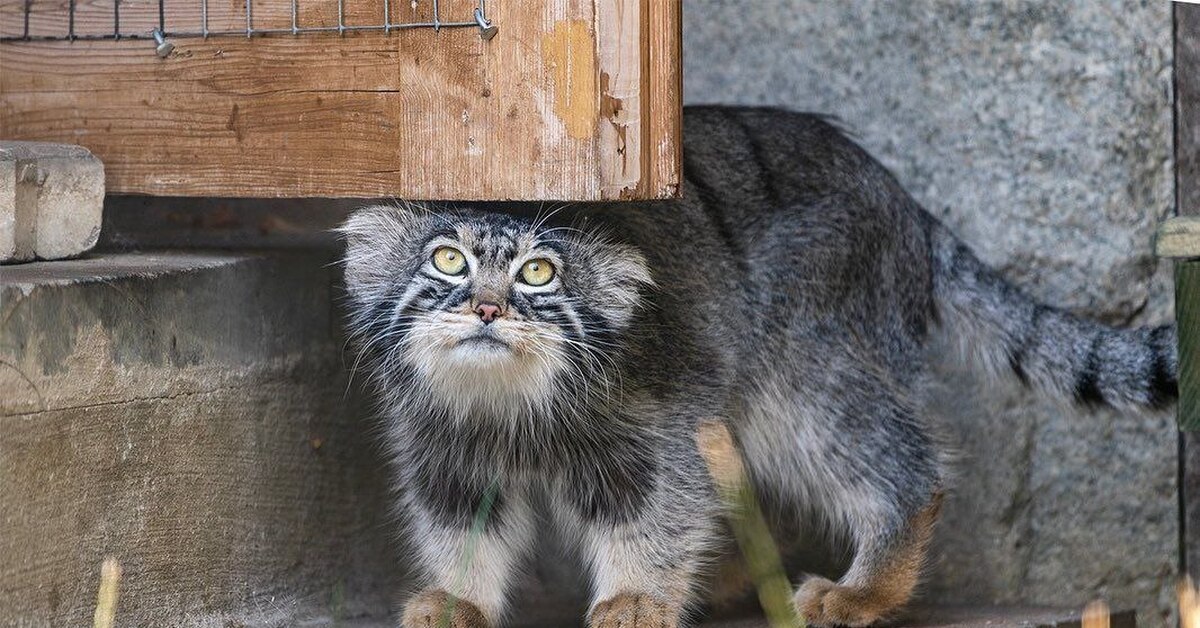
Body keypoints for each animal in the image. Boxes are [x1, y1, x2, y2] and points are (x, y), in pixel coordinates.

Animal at [338, 105, 1171, 624]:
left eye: (539, 273)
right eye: (447, 259)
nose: (486, 309)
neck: (509, 400)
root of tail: (898, 194)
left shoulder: (658, 422)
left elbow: (661, 513)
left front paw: (638, 598)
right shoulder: (444, 443)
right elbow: (458, 524)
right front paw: (458, 598)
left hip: (805, 370)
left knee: (900, 465)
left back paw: (866, 589)